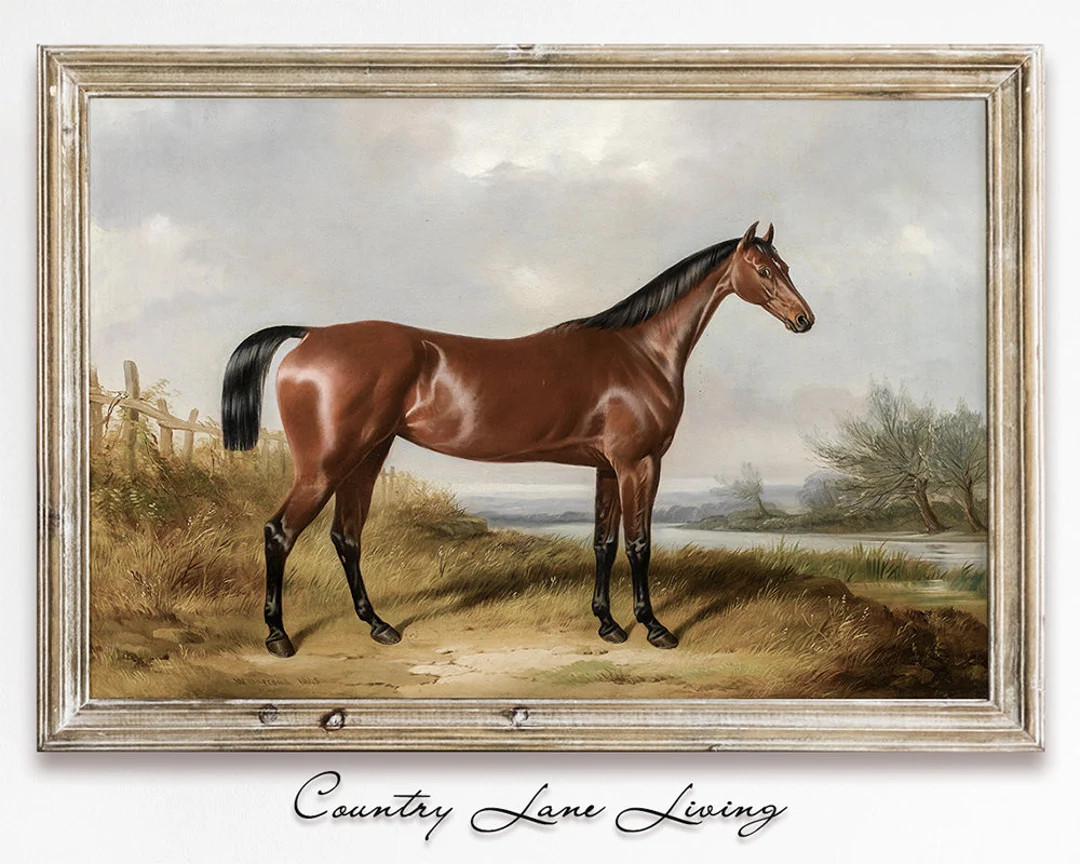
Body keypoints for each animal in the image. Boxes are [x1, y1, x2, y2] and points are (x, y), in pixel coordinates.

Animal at [221, 222, 814, 657]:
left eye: (786, 266)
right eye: (763, 269)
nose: (804, 319)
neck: (639, 352)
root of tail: (312, 334)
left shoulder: (607, 467)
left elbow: (603, 543)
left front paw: (608, 625)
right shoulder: (638, 464)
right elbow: (639, 544)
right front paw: (654, 627)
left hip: (366, 458)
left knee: (346, 537)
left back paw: (379, 626)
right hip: (324, 466)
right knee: (279, 533)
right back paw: (278, 637)